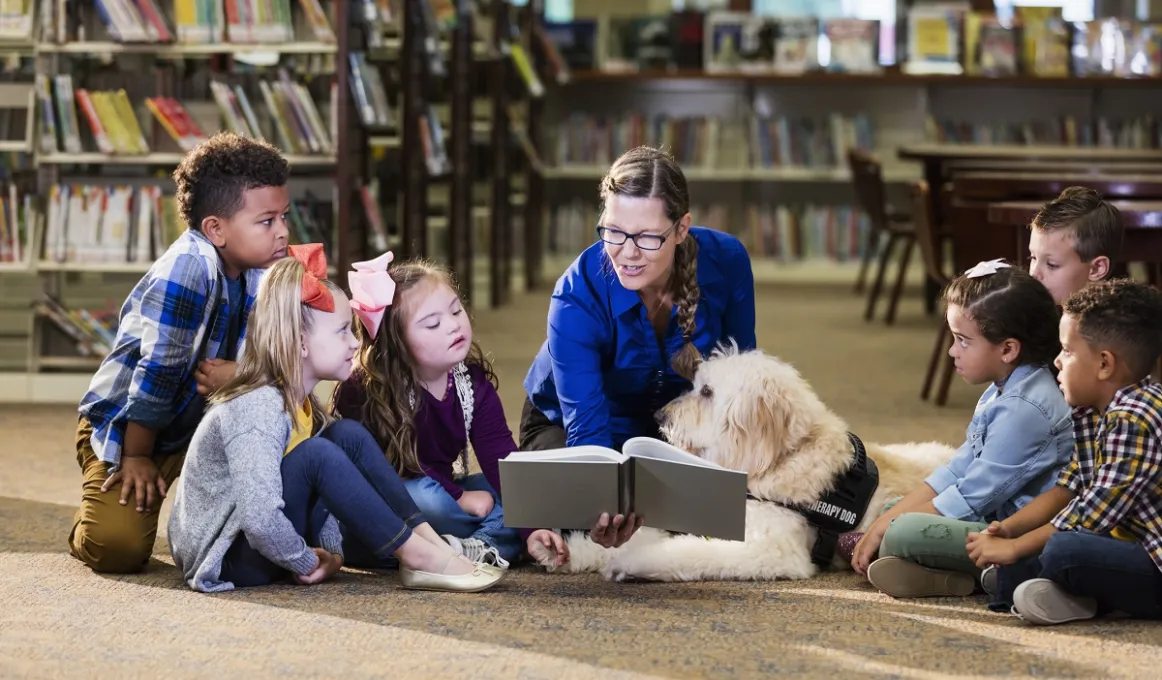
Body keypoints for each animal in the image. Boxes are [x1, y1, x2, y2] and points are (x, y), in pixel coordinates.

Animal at [532, 346, 957, 581]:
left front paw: (630, 561)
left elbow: (688, 551)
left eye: (706, 391)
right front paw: (565, 552)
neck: (780, 461)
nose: (660, 416)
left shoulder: (771, 549)